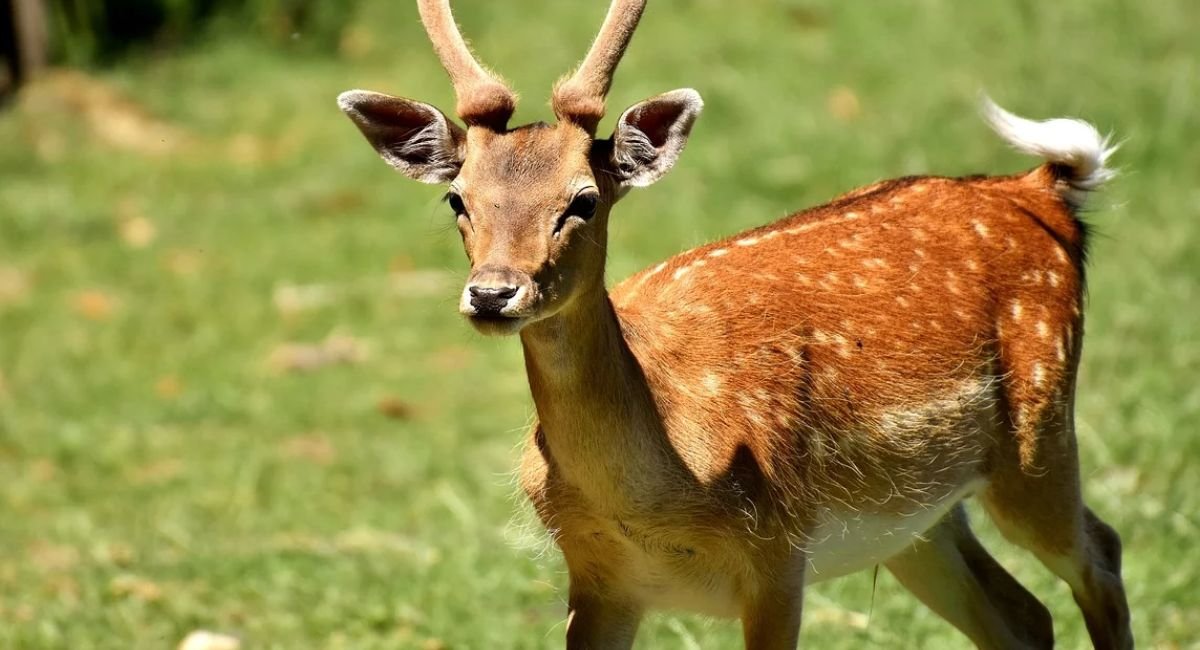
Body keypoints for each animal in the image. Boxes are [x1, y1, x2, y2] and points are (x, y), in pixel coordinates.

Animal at [337, 1, 1133, 648]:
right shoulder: (596, 579)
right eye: (458, 199)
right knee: (1023, 616)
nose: (494, 293)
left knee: (1103, 552)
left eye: (584, 199)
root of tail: (1043, 189)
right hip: (916, 521)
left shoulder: (777, 553)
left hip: (1039, 431)